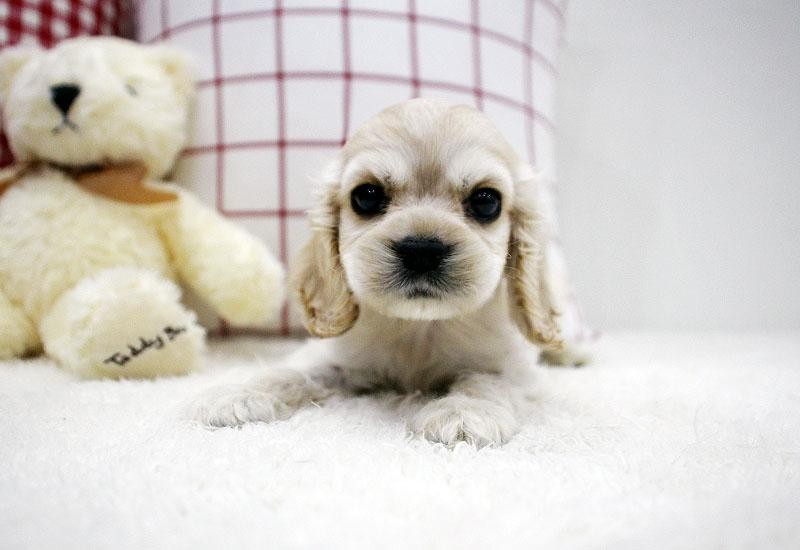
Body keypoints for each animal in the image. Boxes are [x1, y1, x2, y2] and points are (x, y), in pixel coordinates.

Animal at [194, 98, 574, 447]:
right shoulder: (338, 355)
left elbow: (487, 381)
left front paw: (464, 412)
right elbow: (291, 371)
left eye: (486, 201)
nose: (422, 250)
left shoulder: (514, 368)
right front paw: (239, 394)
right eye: (366, 196)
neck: (420, 327)